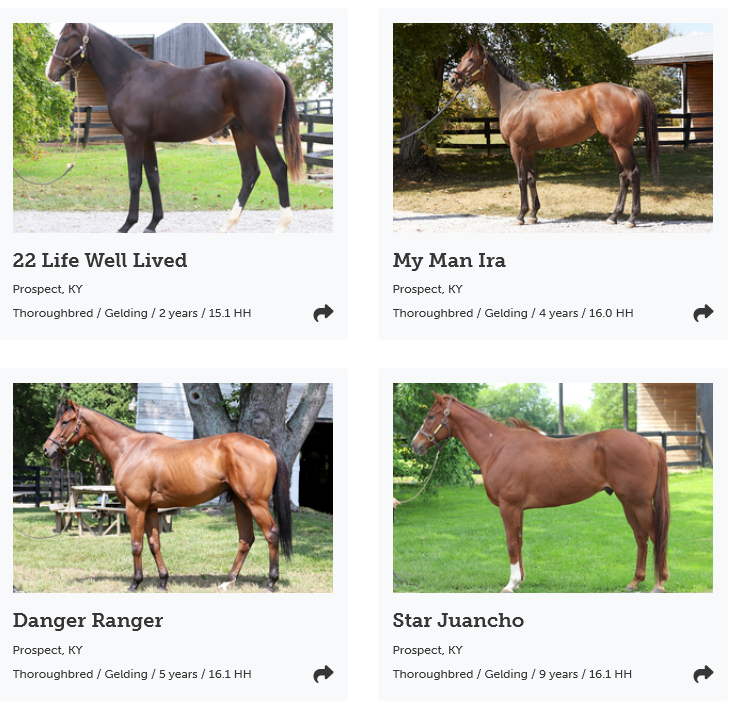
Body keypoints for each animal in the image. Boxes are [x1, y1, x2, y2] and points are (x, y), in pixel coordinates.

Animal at [43, 400, 292, 593]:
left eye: (65, 421)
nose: (47, 449)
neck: (129, 449)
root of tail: (264, 445)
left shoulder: (136, 507)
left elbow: (136, 545)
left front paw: (135, 583)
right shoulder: (151, 509)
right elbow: (155, 544)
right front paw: (163, 581)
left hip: (255, 503)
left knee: (271, 534)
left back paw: (271, 582)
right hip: (241, 503)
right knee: (246, 539)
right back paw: (228, 581)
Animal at [47, 23, 303, 234]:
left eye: (65, 38)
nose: (50, 73)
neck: (130, 76)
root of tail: (273, 73)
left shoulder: (133, 137)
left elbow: (134, 179)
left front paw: (128, 224)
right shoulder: (147, 140)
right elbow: (153, 177)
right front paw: (152, 223)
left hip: (261, 134)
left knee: (278, 169)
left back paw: (281, 226)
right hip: (242, 132)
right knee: (250, 173)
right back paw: (227, 224)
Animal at [411, 393, 670, 593]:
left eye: (430, 416)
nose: (415, 445)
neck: (498, 447)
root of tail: (649, 443)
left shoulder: (509, 507)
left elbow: (511, 544)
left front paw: (510, 584)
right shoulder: (519, 509)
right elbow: (519, 541)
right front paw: (519, 581)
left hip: (640, 503)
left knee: (656, 537)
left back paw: (659, 584)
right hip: (627, 502)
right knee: (641, 538)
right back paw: (634, 582)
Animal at [449, 41, 660, 227]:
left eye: (470, 59)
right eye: (461, 58)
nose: (452, 80)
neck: (515, 99)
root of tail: (630, 91)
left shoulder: (517, 148)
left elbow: (521, 180)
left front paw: (521, 216)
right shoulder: (529, 150)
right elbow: (532, 178)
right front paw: (533, 215)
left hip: (621, 145)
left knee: (633, 174)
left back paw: (631, 219)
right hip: (615, 145)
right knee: (623, 176)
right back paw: (613, 216)